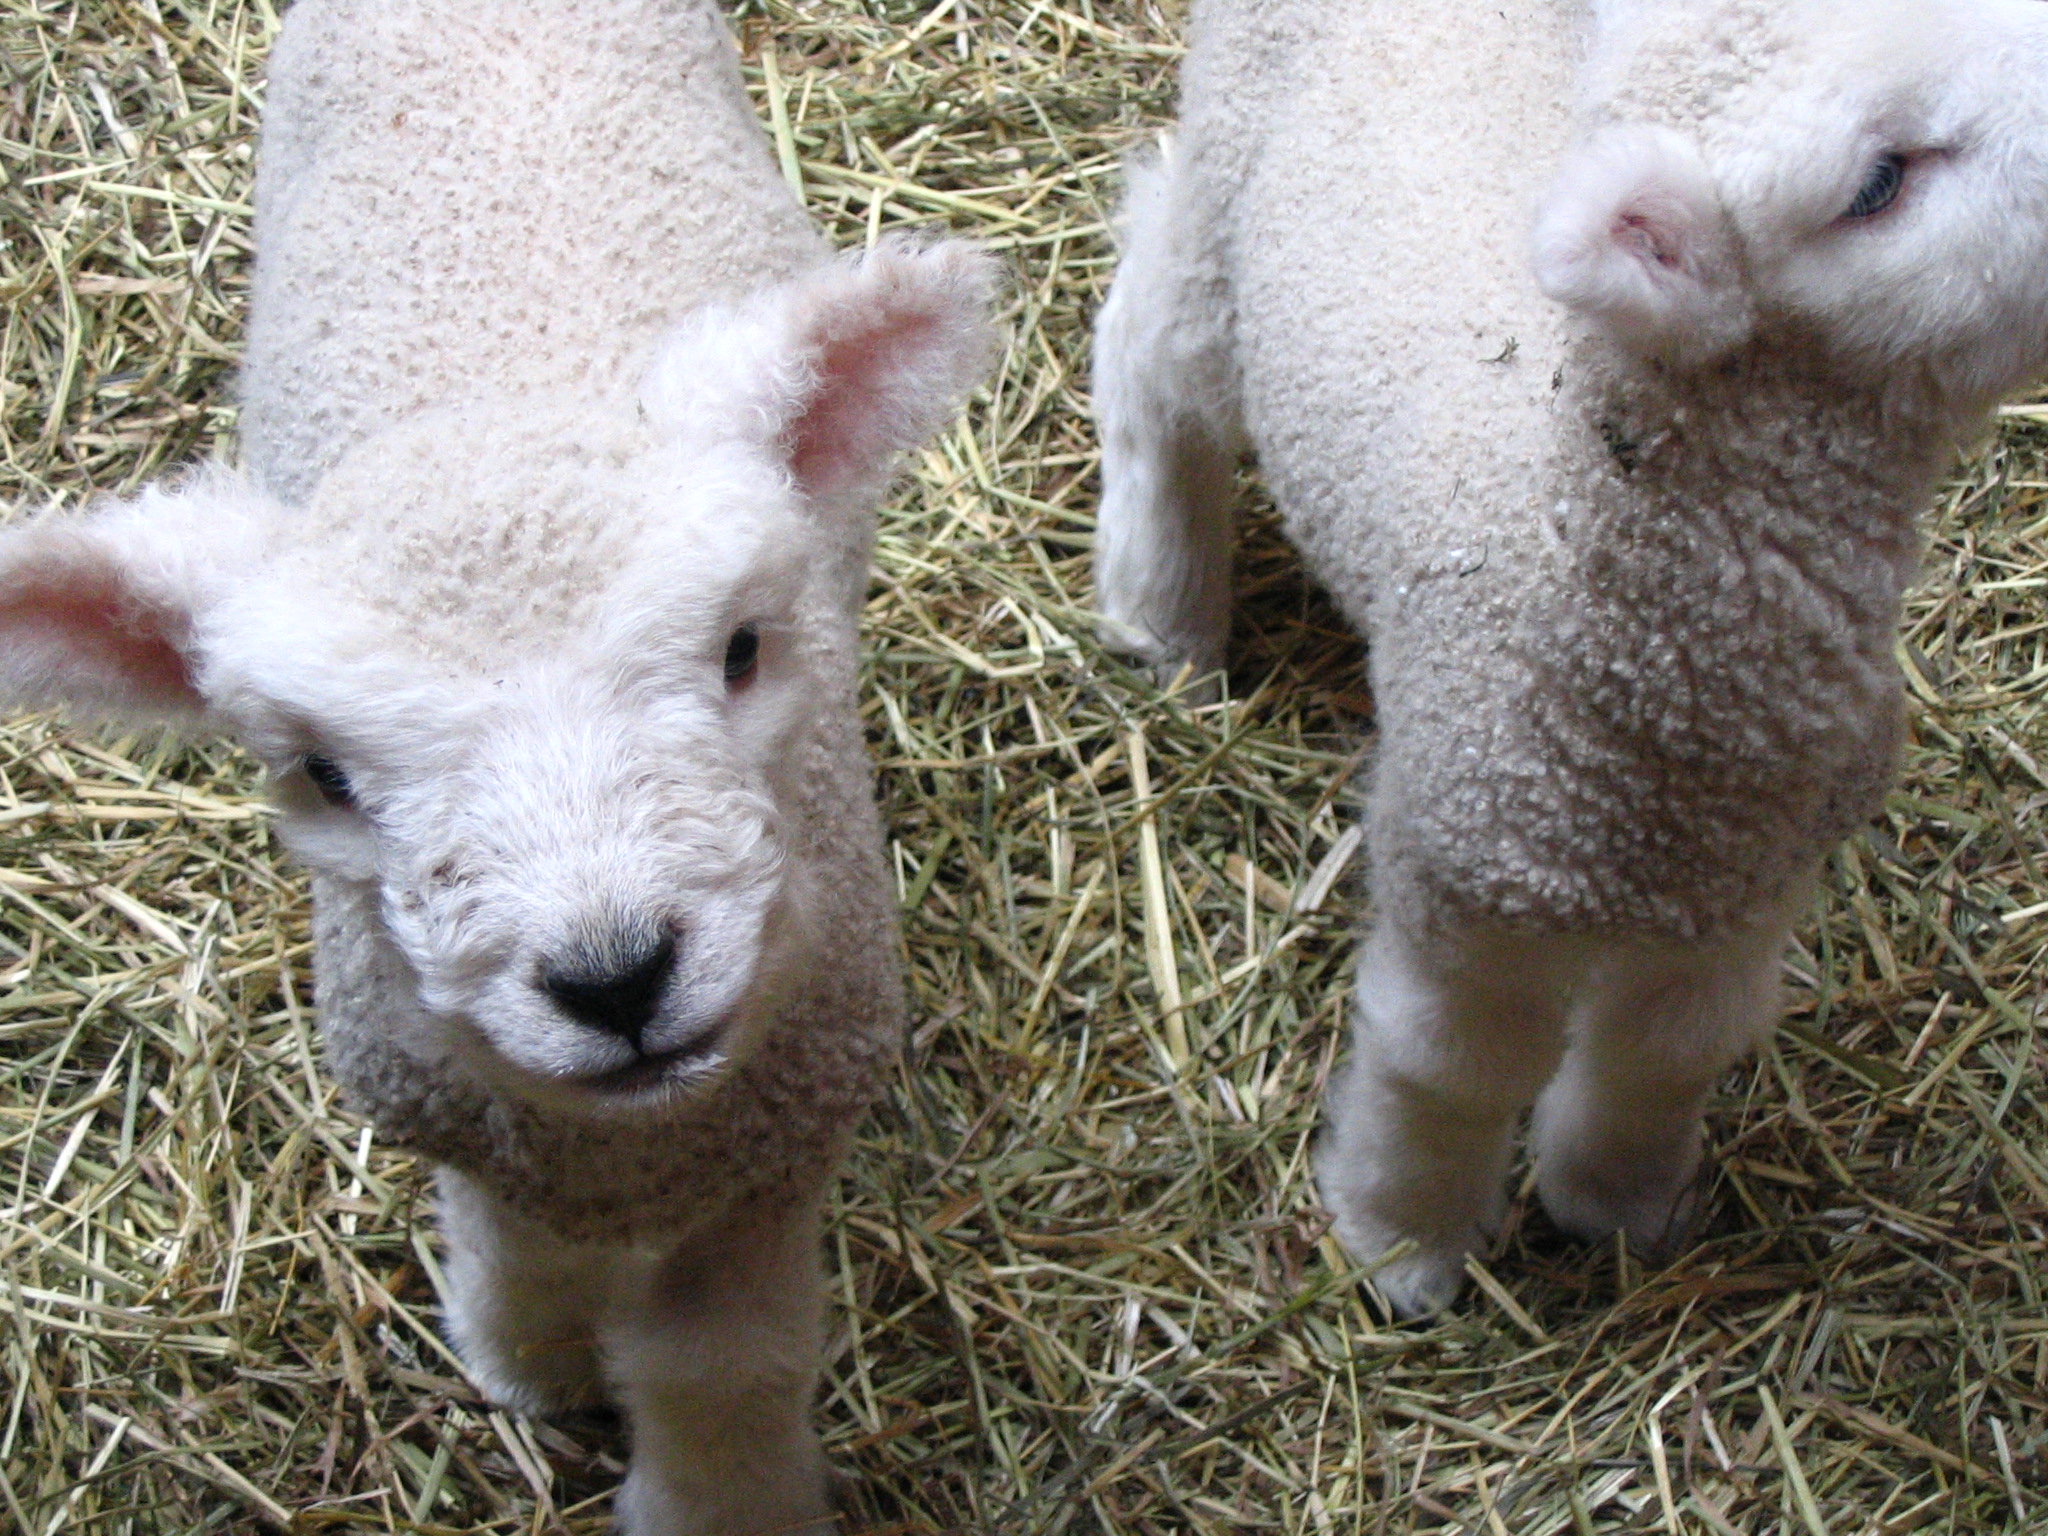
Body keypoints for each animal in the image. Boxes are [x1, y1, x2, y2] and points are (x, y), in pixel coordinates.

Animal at [0, 0, 991, 1531]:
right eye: (323, 775)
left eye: (743, 648)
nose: (614, 979)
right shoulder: (472, 1124)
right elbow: (527, 1257)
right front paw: (528, 1362)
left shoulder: (785, 1142)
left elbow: (724, 1362)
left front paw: (717, 1499)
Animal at [1097, 0, 2048, 1327]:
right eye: (1876, 183)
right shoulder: (1464, 884)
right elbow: (1445, 1071)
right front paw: (1398, 1243)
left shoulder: (1743, 891)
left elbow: (1668, 1053)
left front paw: (1622, 1208)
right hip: (1218, 210)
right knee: (1149, 335)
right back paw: (1161, 606)